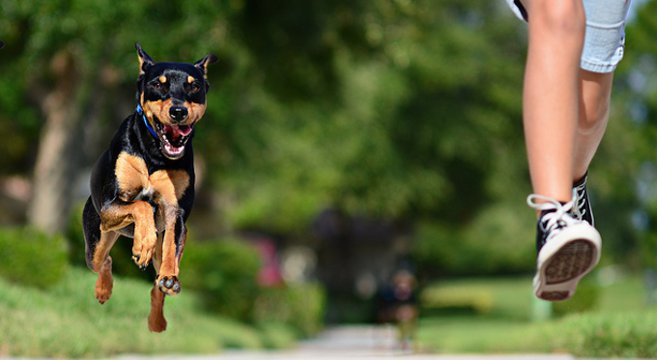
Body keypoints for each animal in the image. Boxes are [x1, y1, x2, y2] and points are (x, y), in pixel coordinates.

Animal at [81, 44, 215, 332]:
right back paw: (103, 290)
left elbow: (170, 244)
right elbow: (141, 204)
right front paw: (142, 243)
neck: (156, 153)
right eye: (157, 84)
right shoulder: (110, 204)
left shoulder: (176, 211)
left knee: (157, 285)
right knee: (103, 260)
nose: (178, 112)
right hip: (97, 236)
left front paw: (167, 273)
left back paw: (157, 319)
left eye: (194, 86)